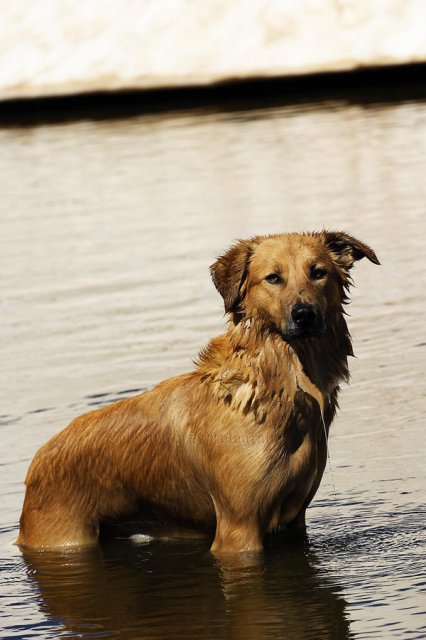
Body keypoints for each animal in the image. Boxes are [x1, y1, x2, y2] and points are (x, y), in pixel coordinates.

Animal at [16, 231, 378, 556]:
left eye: (318, 272)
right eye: (273, 278)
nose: (304, 315)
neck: (276, 389)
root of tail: (38, 460)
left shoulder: (294, 521)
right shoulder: (239, 529)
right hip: (62, 535)